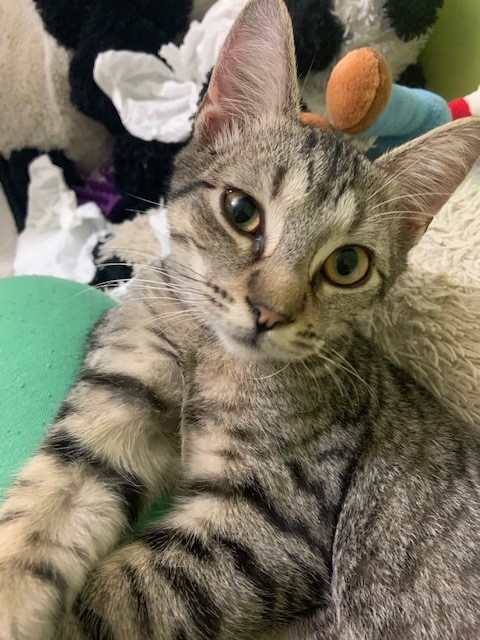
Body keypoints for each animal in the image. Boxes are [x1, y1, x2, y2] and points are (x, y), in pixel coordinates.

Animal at [1, 0, 480, 639]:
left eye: (347, 265)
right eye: (240, 210)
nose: (269, 312)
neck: (208, 357)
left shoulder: (268, 531)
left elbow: (118, 593)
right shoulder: (115, 402)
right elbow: (42, 510)